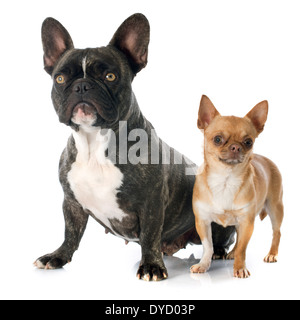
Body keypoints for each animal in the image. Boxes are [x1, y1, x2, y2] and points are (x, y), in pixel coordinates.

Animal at [191, 95, 284, 278]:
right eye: (217, 139)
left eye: (248, 142)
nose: (235, 147)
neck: (225, 180)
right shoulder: (203, 221)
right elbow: (208, 246)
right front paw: (204, 264)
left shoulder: (247, 222)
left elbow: (243, 248)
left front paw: (240, 268)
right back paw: (232, 253)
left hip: (275, 208)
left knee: (276, 232)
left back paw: (272, 254)